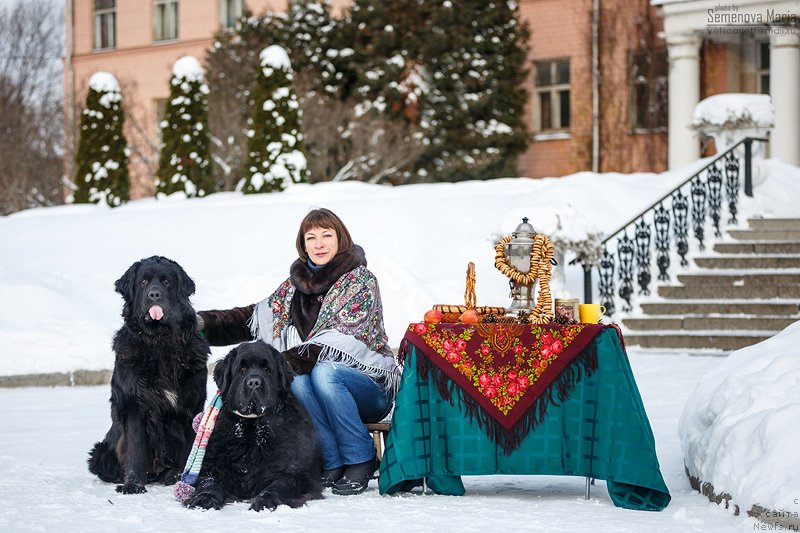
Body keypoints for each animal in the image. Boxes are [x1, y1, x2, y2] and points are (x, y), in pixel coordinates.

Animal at [87, 256, 209, 492]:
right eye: (143, 282)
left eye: (167, 282)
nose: (154, 294)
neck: (160, 341)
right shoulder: (134, 404)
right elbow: (136, 448)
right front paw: (133, 485)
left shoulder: (192, 405)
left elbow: (189, 447)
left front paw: (181, 478)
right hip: (100, 452)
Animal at [186, 340, 324, 512]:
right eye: (242, 369)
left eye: (266, 369)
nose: (253, 382)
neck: (252, 426)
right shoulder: (212, 467)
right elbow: (209, 482)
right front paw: (203, 499)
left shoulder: (294, 472)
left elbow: (280, 485)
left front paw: (265, 501)